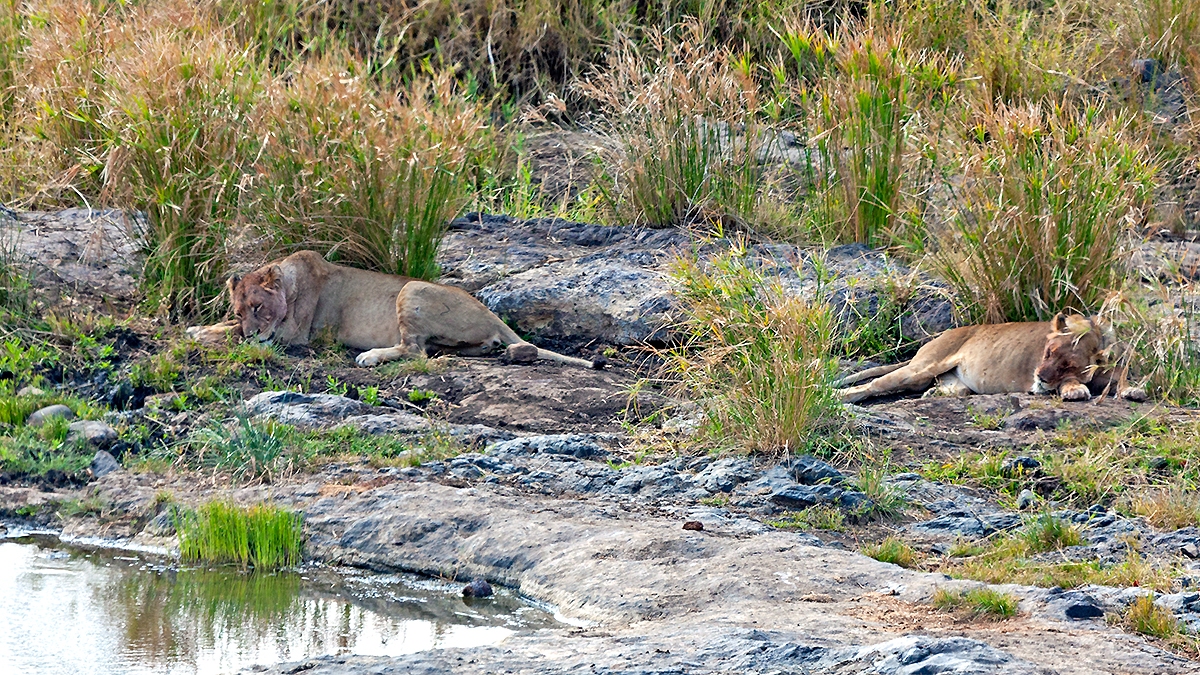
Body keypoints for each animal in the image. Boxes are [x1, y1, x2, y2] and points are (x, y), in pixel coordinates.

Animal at [186, 250, 604, 369]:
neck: (289, 283)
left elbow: (236, 337)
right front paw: (203, 329)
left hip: (411, 289)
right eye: (239, 310)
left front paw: (209, 334)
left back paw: (370, 356)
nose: (251, 330)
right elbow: (223, 329)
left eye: (259, 307)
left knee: (414, 350)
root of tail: (490, 312)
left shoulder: (293, 335)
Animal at [836, 313, 1144, 403]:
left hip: (944, 380)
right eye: (1047, 352)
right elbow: (1064, 385)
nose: (1039, 376)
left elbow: (1121, 374)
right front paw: (1075, 389)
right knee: (872, 386)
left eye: (1068, 363)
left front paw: (1133, 389)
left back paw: (933, 395)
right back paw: (838, 396)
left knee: (951, 389)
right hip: (920, 368)